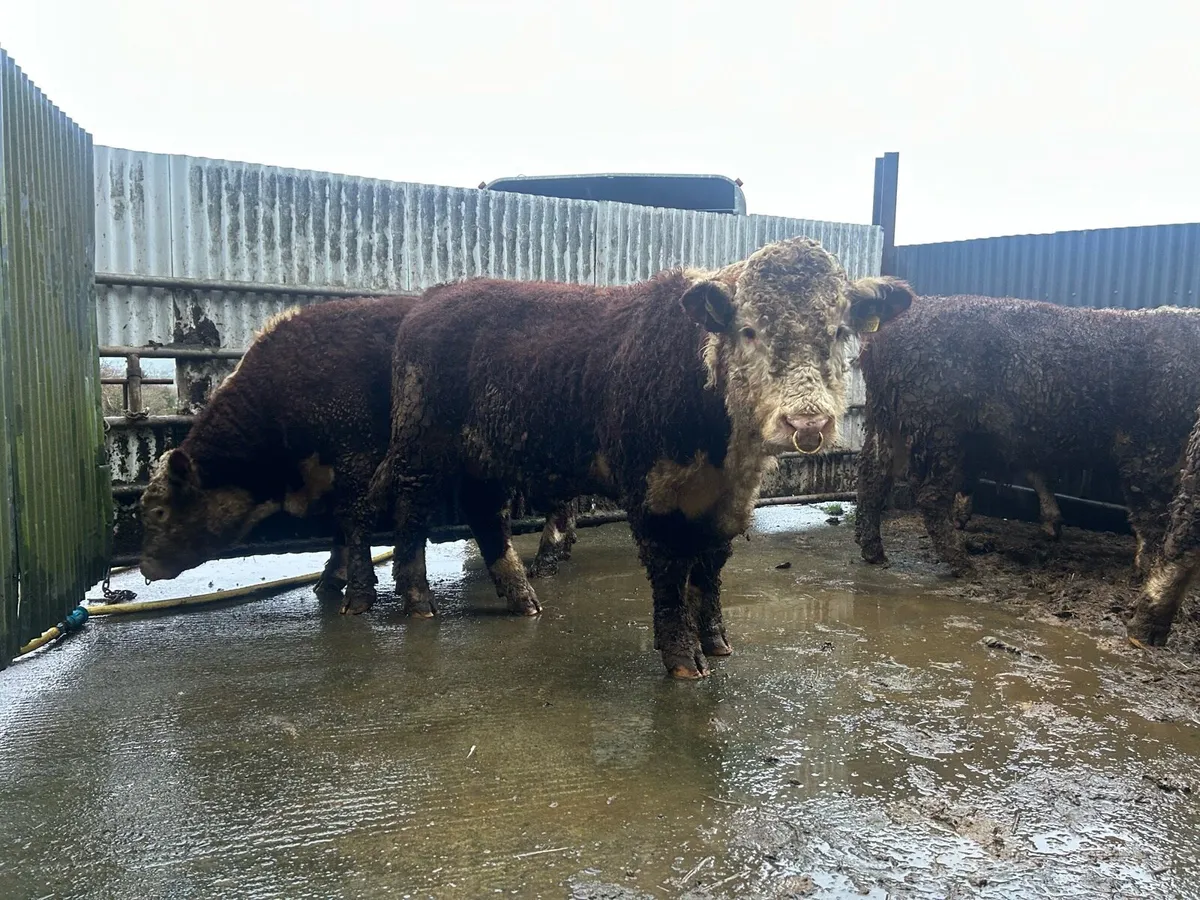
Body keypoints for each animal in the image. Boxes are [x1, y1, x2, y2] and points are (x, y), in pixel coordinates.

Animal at [138, 296, 580, 615]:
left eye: (160, 511)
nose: (145, 567)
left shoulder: (357, 457)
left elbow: (355, 521)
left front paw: (359, 594)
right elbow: (340, 527)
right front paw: (331, 579)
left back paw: (547, 559)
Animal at [367, 237, 914, 678]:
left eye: (839, 330)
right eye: (750, 330)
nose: (807, 424)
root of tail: (435, 298)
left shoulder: (730, 496)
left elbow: (709, 565)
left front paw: (716, 641)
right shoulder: (653, 488)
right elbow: (671, 568)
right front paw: (683, 659)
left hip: (489, 452)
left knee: (484, 513)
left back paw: (523, 599)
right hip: (422, 441)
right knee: (412, 510)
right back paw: (419, 601)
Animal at [854, 295, 1200, 577]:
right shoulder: (1148, 443)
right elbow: (1152, 511)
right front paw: (1150, 568)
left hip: (886, 420)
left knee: (872, 475)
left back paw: (873, 550)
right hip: (939, 427)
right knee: (930, 496)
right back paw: (962, 563)